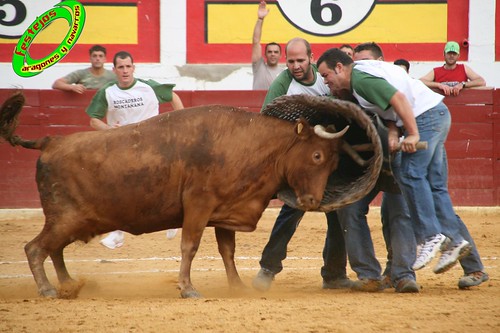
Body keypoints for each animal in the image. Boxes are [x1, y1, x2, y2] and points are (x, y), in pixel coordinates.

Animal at [0, 92, 348, 296]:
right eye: (317, 156)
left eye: (335, 164)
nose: (312, 201)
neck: (247, 143)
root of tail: (50, 141)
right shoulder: (198, 205)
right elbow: (189, 246)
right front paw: (187, 288)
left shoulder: (225, 210)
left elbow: (227, 251)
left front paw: (236, 286)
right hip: (63, 218)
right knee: (36, 248)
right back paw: (48, 290)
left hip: (70, 221)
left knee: (54, 250)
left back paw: (69, 285)